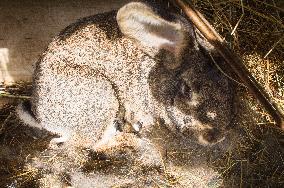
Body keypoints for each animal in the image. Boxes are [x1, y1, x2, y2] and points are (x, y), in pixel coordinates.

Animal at [17, 1, 233, 151]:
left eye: (227, 87)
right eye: (187, 90)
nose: (217, 137)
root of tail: (41, 116)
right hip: (102, 98)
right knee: (88, 143)